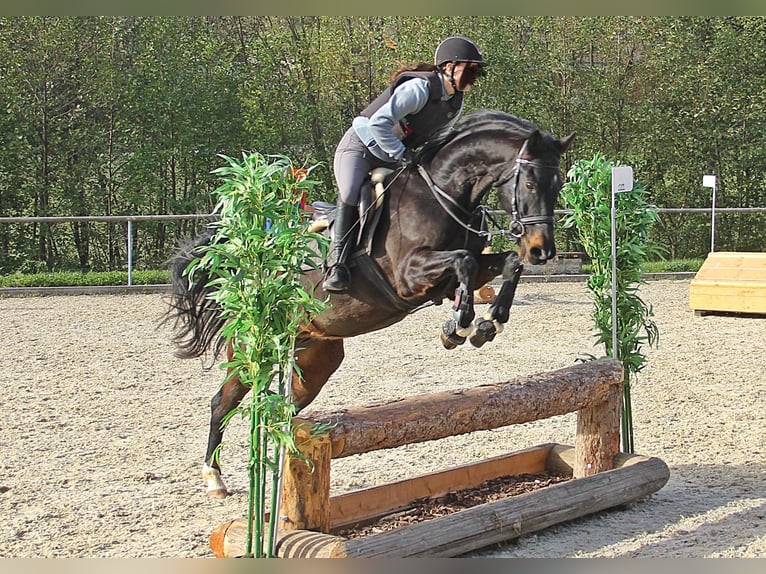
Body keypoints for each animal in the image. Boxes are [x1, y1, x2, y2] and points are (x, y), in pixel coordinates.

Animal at [164, 109, 576, 500]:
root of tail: (250, 266)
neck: (444, 194)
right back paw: (214, 478)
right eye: (530, 182)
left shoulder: (455, 275)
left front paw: (488, 323)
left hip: (315, 357)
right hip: (253, 347)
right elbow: (465, 262)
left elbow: (505, 264)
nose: (542, 250)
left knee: (285, 410)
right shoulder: (409, 276)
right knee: (223, 402)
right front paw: (459, 325)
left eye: (558, 185)